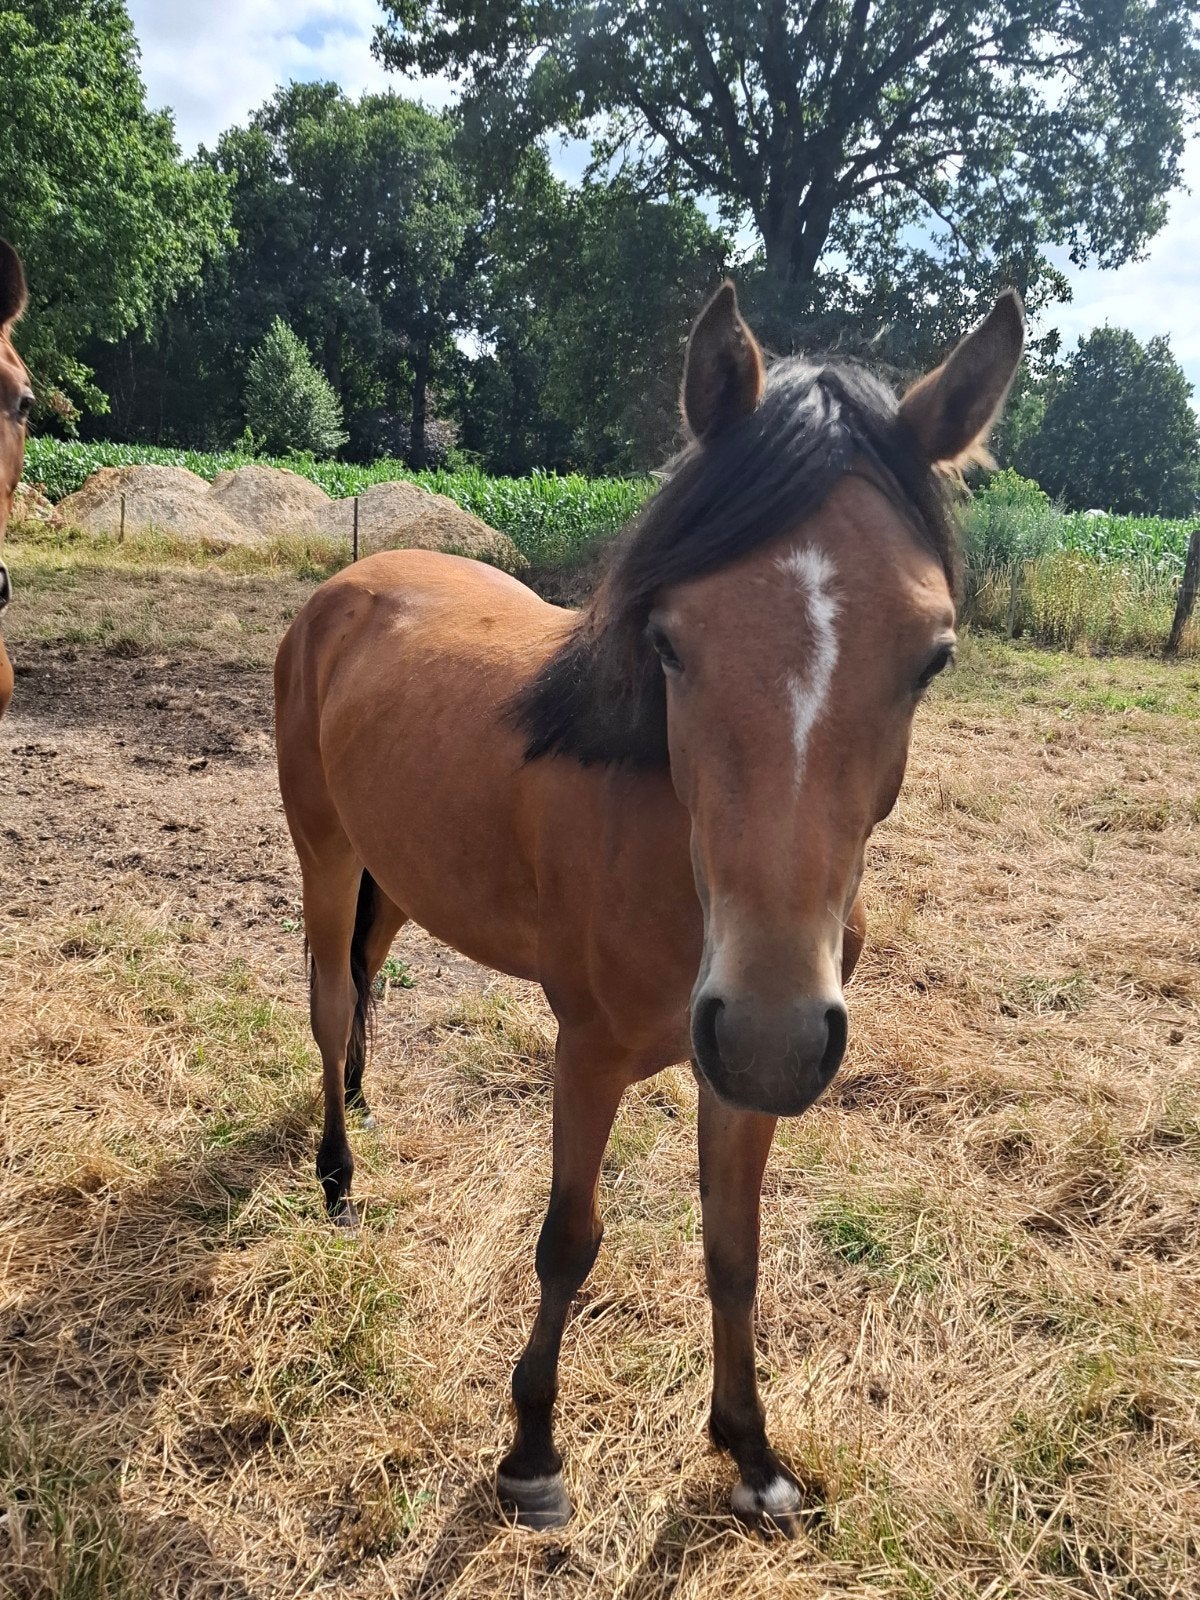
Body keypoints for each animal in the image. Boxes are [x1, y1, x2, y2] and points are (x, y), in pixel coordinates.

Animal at [274, 281, 1023, 1532]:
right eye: (671, 640)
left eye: (934, 656)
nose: (772, 1030)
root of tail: (349, 585)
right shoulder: (585, 1053)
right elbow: (569, 1241)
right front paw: (532, 1452)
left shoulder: (739, 1080)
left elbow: (735, 1252)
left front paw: (752, 1453)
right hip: (325, 852)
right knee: (332, 1000)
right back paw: (337, 1176)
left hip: (398, 872)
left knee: (369, 978)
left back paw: (369, 1108)